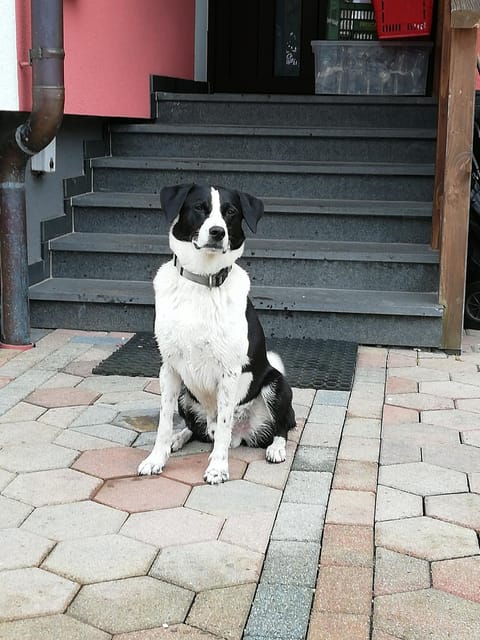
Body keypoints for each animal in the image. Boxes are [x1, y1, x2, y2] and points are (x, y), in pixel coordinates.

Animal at [137, 182, 296, 482]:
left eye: (230, 212)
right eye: (199, 207)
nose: (217, 232)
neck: (202, 280)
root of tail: (243, 435)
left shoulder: (229, 371)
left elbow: (224, 424)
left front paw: (218, 467)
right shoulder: (168, 368)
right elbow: (164, 422)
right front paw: (156, 458)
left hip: (276, 385)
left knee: (280, 426)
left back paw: (276, 448)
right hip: (186, 393)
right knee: (195, 429)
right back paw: (178, 438)